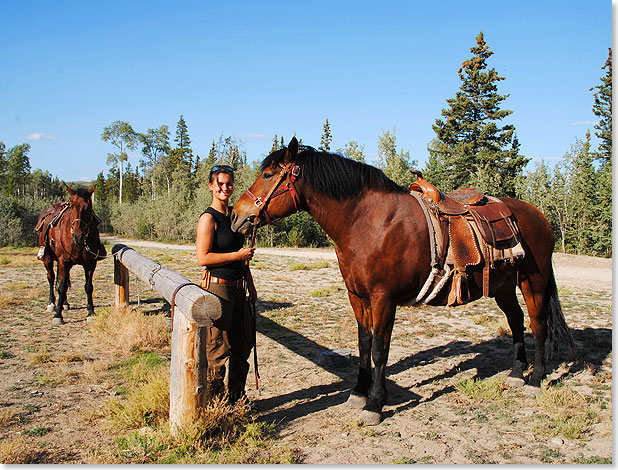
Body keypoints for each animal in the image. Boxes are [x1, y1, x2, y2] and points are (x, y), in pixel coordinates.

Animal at [36, 185, 106, 324]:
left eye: (88, 207)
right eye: (72, 208)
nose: (79, 235)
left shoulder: (90, 264)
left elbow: (88, 286)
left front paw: (91, 312)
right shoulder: (64, 261)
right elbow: (62, 286)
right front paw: (58, 315)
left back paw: (65, 303)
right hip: (48, 259)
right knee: (51, 278)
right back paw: (52, 304)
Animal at [231, 137, 572, 426]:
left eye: (267, 174)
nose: (236, 215)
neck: (367, 223)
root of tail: (538, 215)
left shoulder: (384, 298)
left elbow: (380, 349)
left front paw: (374, 405)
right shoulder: (358, 296)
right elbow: (364, 343)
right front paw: (358, 393)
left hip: (533, 280)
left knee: (538, 325)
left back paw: (535, 380)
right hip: (503, 286)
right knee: (516, 321)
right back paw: (516, 373)